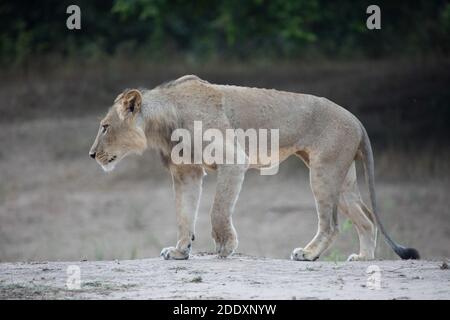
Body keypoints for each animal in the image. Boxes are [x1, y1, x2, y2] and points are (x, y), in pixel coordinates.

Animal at [89, 75, 420, 262]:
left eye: (105, 127)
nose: (91, 155)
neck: (163, 122)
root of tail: (357, 121)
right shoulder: (186, 172)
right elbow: (184, 215)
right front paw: (180, 251)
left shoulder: (233, 159)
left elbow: (217, 210)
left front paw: (225, 247)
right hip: (343, 179)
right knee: (366, 218)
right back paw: (364, 257)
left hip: (323, 172)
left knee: (332, 224)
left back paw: (308, 254)